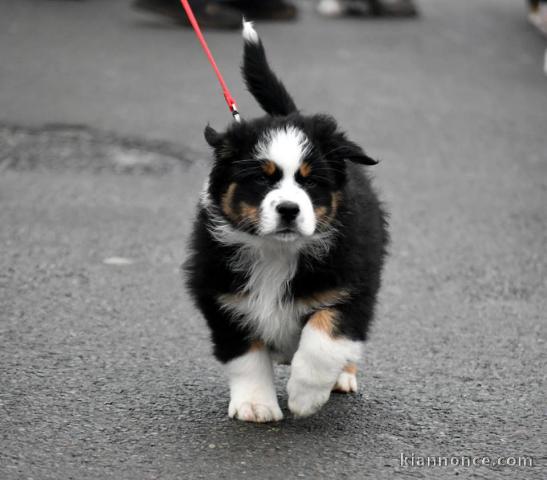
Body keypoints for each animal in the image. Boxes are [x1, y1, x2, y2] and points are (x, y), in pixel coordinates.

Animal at [185, 21, 390, 424]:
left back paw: (341, 376)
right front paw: (255, 406)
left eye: (310, 181)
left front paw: (305, 396)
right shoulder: (223, 297)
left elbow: (323, 339)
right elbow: (245, 356)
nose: (289, 209)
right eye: (262, 179)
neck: (277, 252)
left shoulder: (350, 287)